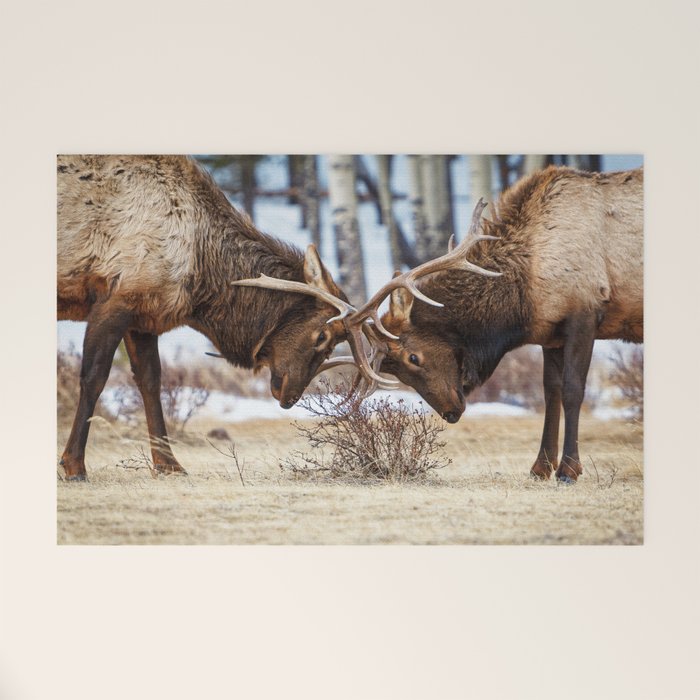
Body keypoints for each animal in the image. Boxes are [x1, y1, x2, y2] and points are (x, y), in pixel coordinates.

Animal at [58, 155, 363, 481]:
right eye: (322, 335)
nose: (291, 397)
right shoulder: (113, 300)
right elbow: (94, 378)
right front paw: (74, 465)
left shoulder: (143, 315)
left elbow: (151, 381)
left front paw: (169, 464)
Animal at [330, 165, 643, 483]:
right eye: (393, 370)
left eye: (413, 357)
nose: (451, 412)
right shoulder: (552, 333)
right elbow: (550, 392)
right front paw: (540, 467)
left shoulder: (584, 314)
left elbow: (572, 390)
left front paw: (568, 469)